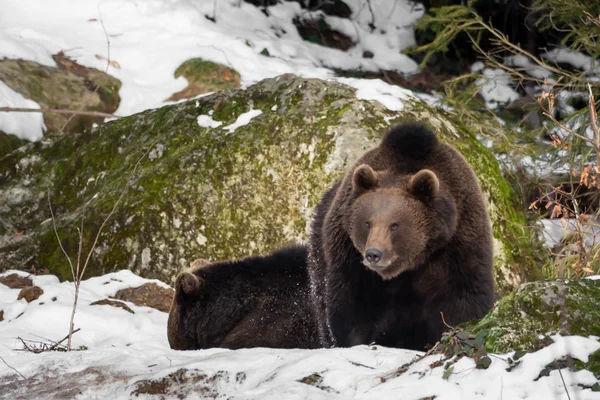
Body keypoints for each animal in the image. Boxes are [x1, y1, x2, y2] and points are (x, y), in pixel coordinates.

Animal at [308, 122, 494, 350]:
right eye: (367, 222)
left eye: (395, 225)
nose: (373, 254)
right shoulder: (350, 258)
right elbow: (352, 307)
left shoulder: (457, 246)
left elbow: (464, 299)